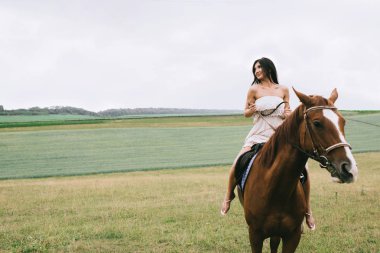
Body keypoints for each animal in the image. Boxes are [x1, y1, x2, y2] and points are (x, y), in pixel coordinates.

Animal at [239, 88, 358, 252]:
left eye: (343, 122)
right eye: (317, 123)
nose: (349, 169)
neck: (276, 190)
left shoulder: (292, 236)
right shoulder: (255, 235)